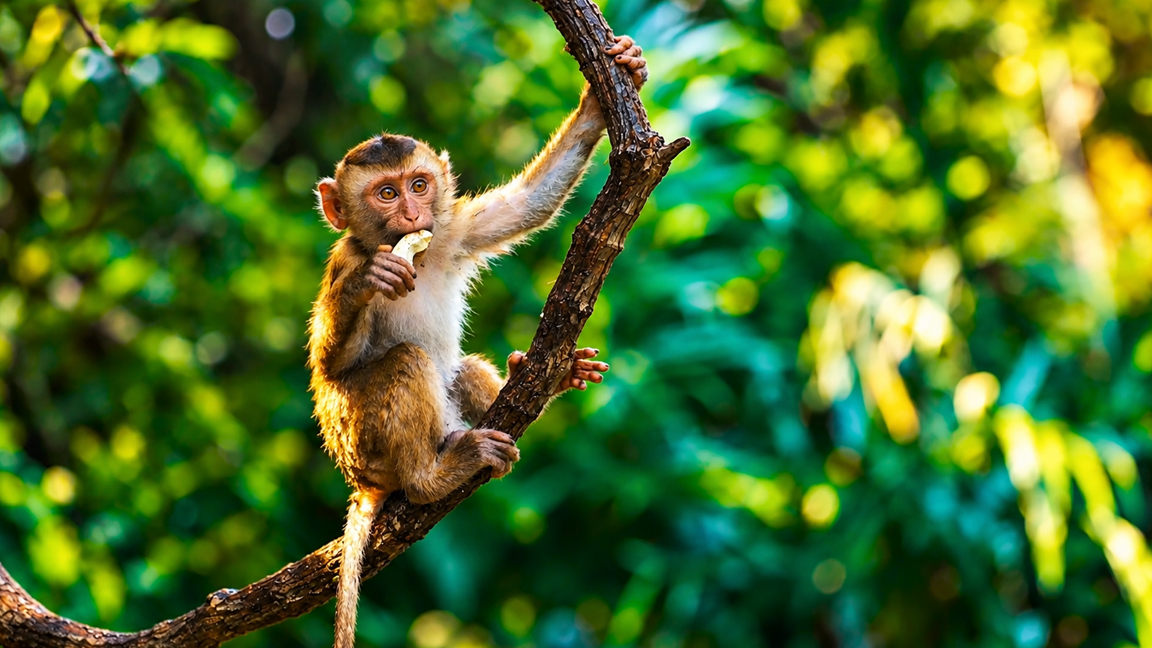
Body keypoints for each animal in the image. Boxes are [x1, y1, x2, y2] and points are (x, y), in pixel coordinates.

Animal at [306, 36, 648, 648]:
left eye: (419, 185)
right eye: (386, 193)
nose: (412, 212)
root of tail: (360, 480)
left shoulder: (450, 231)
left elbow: (527, 204)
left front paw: (601, 95)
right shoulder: (343, 259)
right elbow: (329, 368)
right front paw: (370, 282)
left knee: (458, 369)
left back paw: (538, 382)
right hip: (362, 441)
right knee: (407, 361)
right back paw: (428, 481)